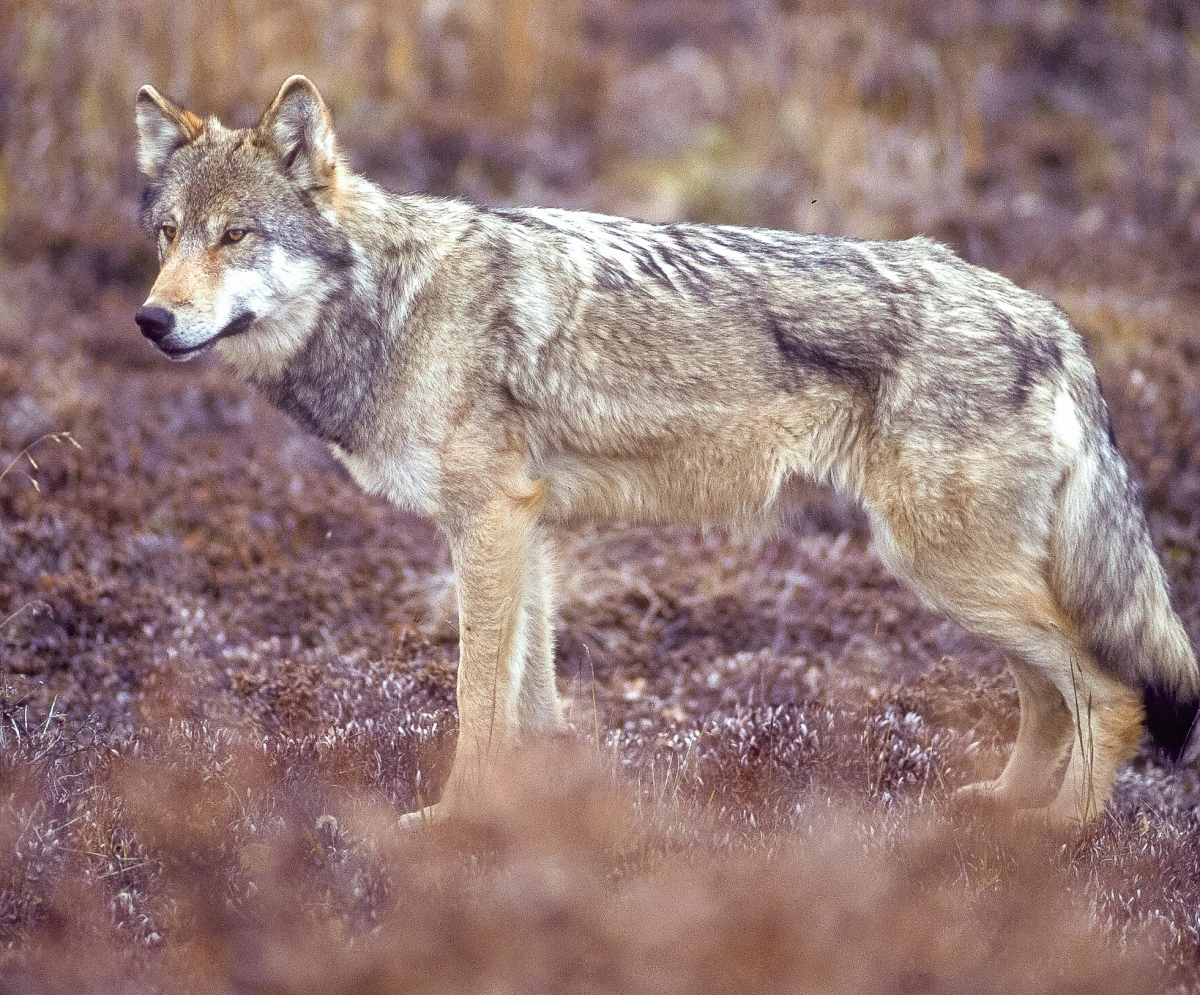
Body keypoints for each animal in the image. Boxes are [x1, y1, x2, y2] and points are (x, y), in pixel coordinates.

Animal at [133, 75, 1200, 820]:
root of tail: (1052, 321)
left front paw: (449, 823)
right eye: (169, 233)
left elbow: (477, 701)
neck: (393, 304)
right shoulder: (527, 529)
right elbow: (530, 695)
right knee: (1049, 695)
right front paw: (539, 803)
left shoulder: (489, 523)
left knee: (1109, 692)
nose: (151, 320)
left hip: (946, 569)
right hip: (958, 580)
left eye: (237, 236)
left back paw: (1057, 835)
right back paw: (1006, 811)